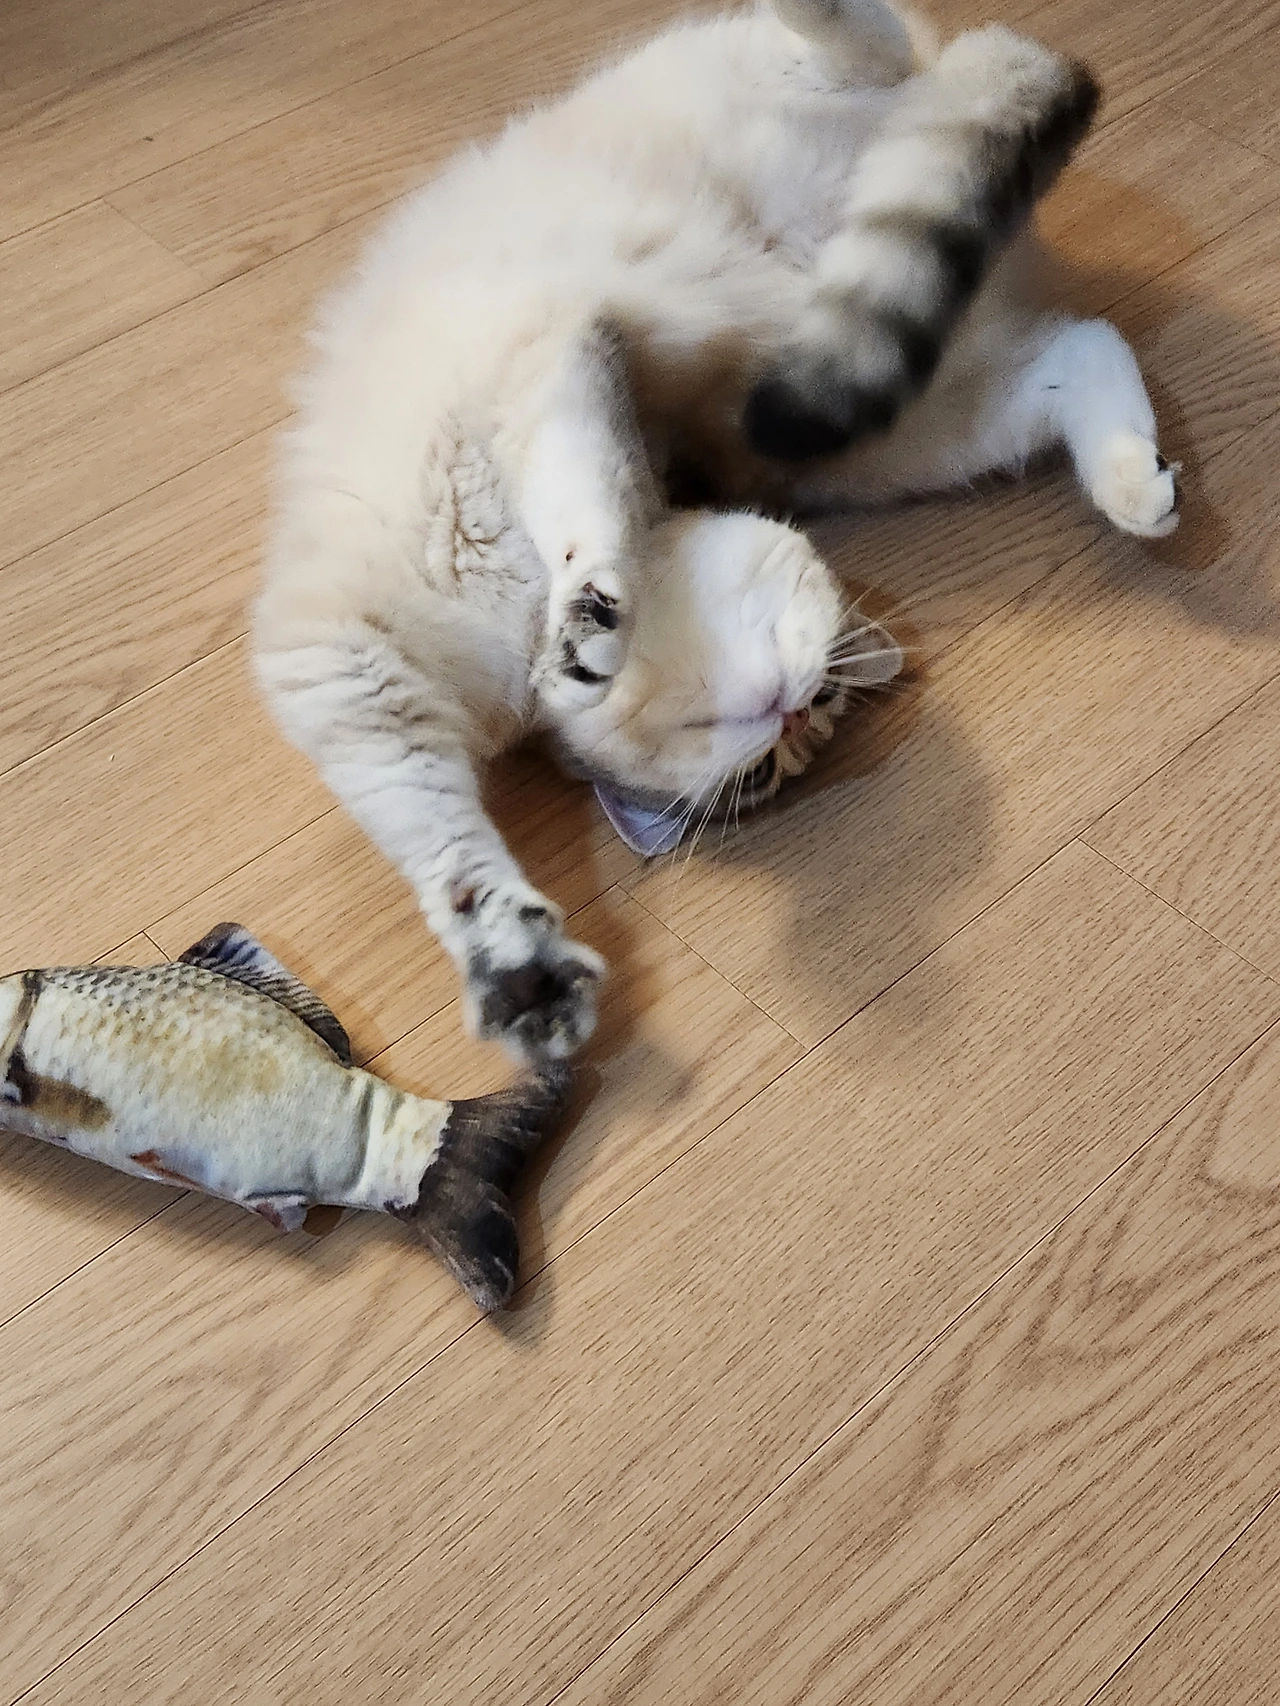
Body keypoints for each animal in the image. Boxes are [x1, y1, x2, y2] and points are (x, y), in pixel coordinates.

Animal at [253, 0, 1178, 1065]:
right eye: (769, 770)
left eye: (818, 711)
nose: (796, 714)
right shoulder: (356, 677)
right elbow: (444, 843)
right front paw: (518, 969)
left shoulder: (570, 374)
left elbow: (583, 502)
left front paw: (589, 612)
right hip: (897, 423)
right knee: (1081, 343)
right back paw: (1137, 484)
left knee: (886, 41)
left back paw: (819, 10)